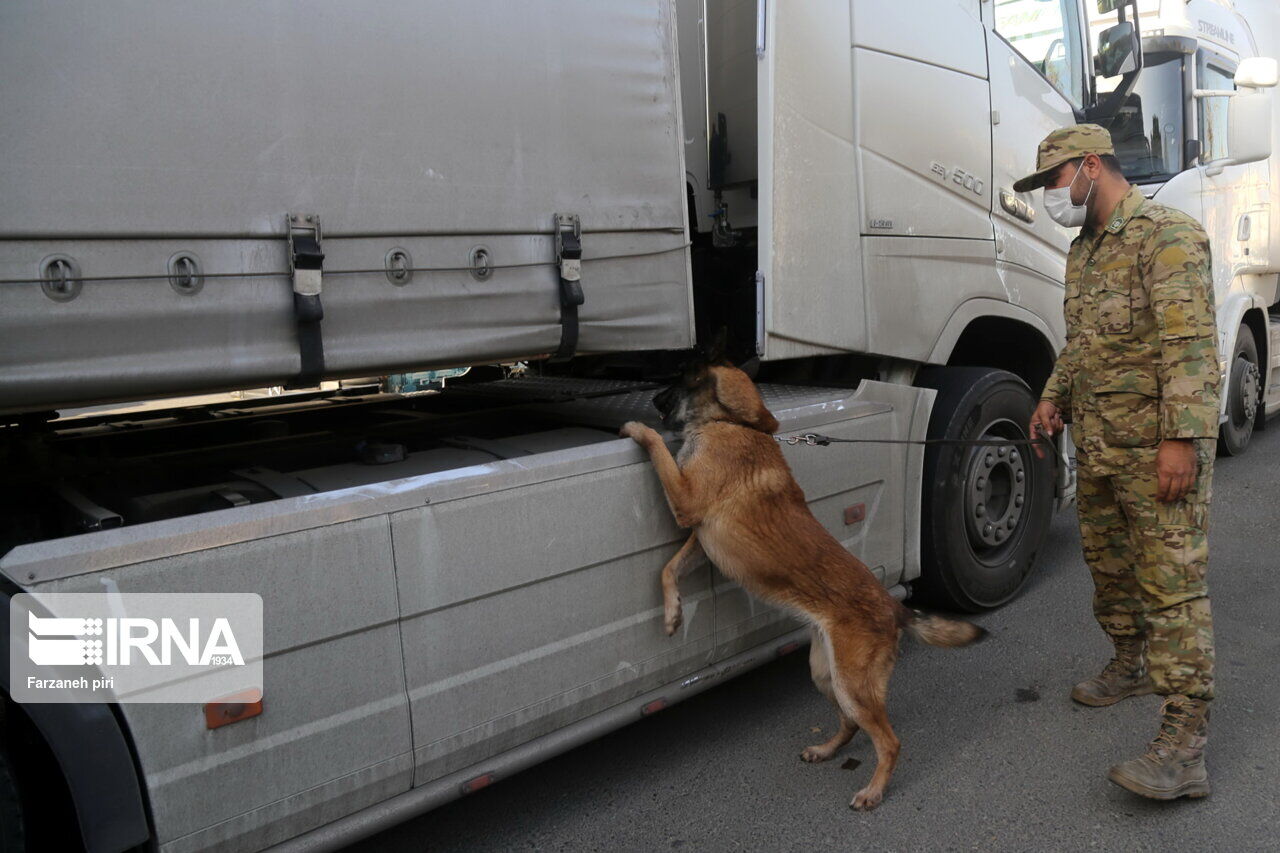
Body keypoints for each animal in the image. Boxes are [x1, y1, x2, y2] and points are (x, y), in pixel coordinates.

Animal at [622, 350, 988, 809]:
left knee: (889, 742)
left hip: (852, 685)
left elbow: (657, 448)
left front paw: (638, 429)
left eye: (676, 382)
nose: (651, 399)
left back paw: (873, 791)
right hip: (825, 675)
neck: (734, 423)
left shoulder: (687, 505)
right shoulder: (700, 538)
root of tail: (894, 608)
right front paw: (672, 615)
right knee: (850, 725)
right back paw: (826, 749)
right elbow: (668, 568)